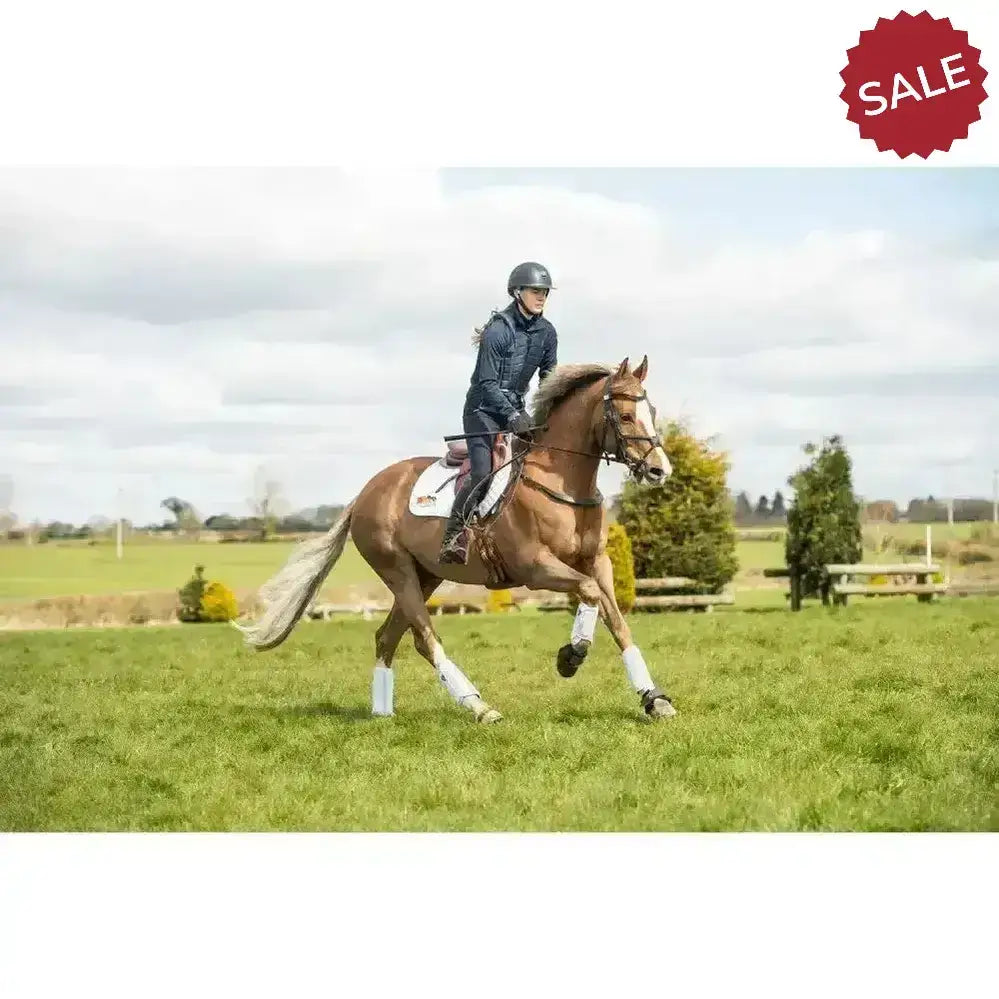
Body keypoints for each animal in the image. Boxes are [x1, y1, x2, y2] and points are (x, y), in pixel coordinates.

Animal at [233, 355, 677, 724]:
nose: (660, 470)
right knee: (425, 639)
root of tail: (364, 493)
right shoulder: (535, 567)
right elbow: (588, 593)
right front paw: (572, 655)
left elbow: (617, 621)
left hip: (426, 575)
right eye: (625, 415)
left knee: (388, 637)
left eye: (652, 411)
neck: (561, 482)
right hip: (398, 571)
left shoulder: (597, 562)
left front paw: (653, 699)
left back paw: (382, 713)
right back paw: (478, 706)